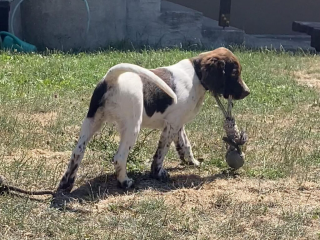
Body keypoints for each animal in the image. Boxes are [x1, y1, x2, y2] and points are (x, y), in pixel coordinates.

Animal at [57, 47, 250, 193]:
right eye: (234, 73)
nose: (248, 92)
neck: (196, 76)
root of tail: (113, 78)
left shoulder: (177, 123)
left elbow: (185, 144)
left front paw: (191, 162)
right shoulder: (171, 126)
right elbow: (161, 152)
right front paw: (158, 173)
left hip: (92, 121)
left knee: (77, 152)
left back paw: (66, 183)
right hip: (132, 127)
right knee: (119, 157)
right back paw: (125, 182)